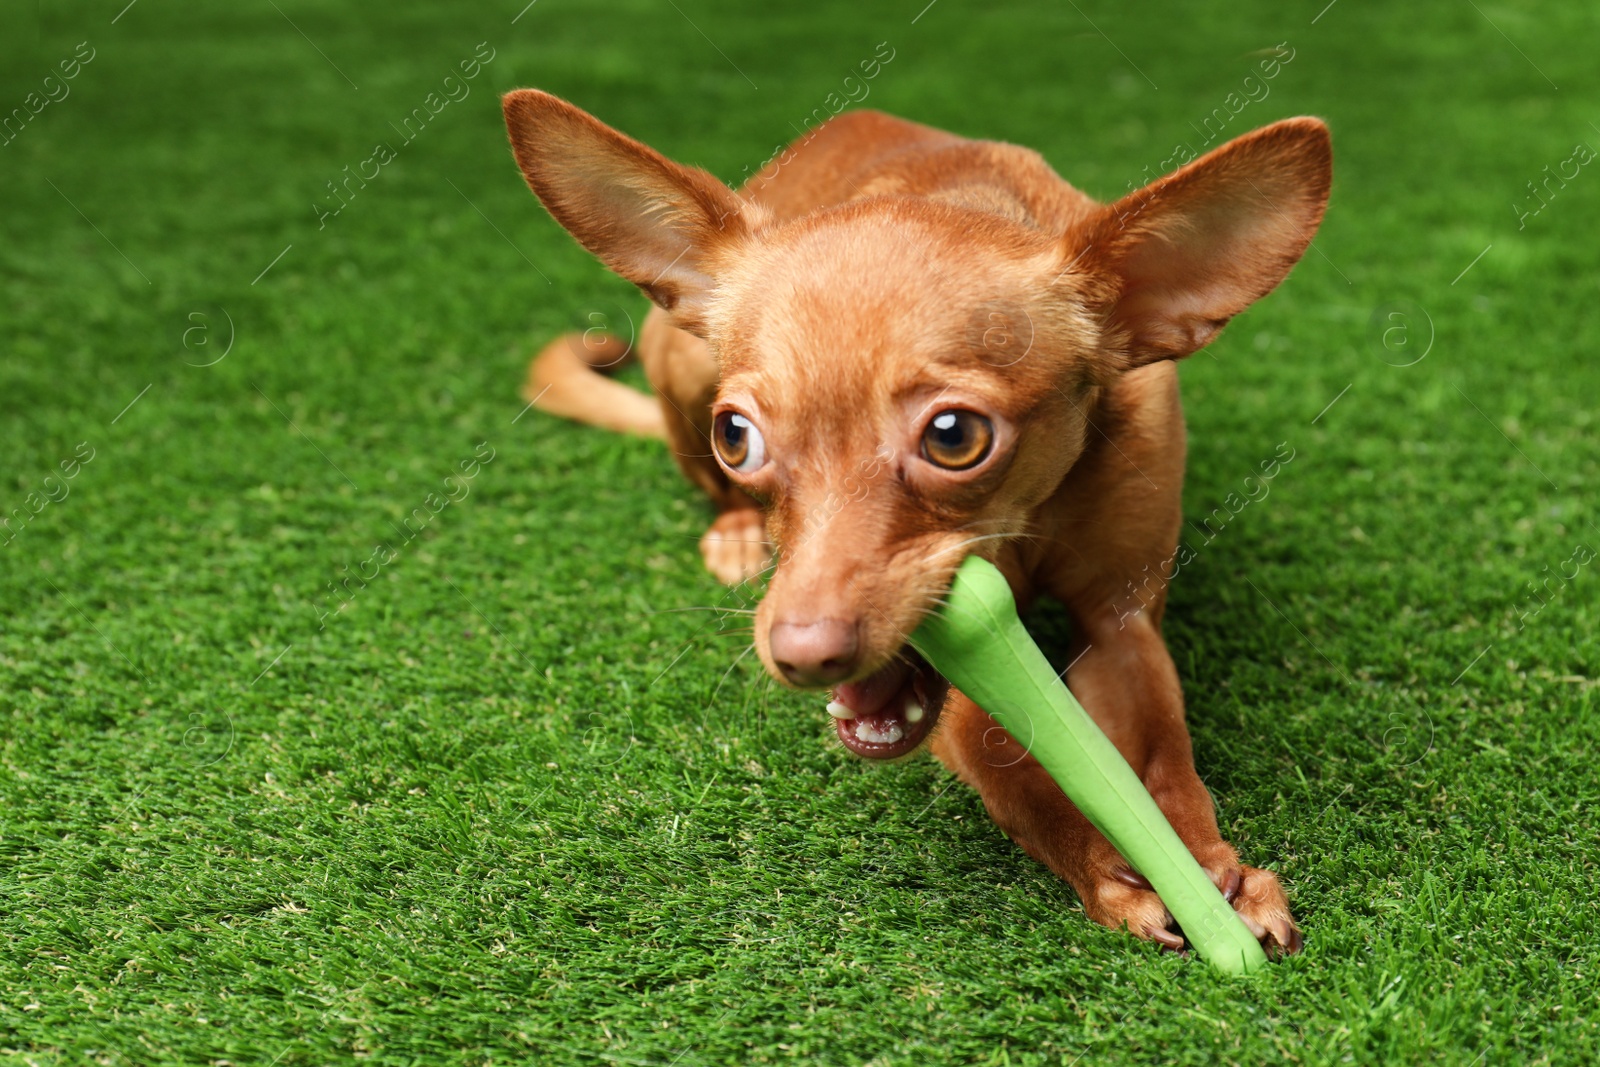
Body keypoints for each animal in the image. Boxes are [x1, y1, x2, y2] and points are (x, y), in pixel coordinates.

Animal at [505, 87, 1331, 953]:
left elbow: (1165, 750)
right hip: (680, 359)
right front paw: (1109, 865)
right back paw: (734, 532)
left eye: (954, 436)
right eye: (736, 435)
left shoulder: (1120, 621)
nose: (800, 651)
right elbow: (1012, 764)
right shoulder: (970, 678)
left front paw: (1211, 866)